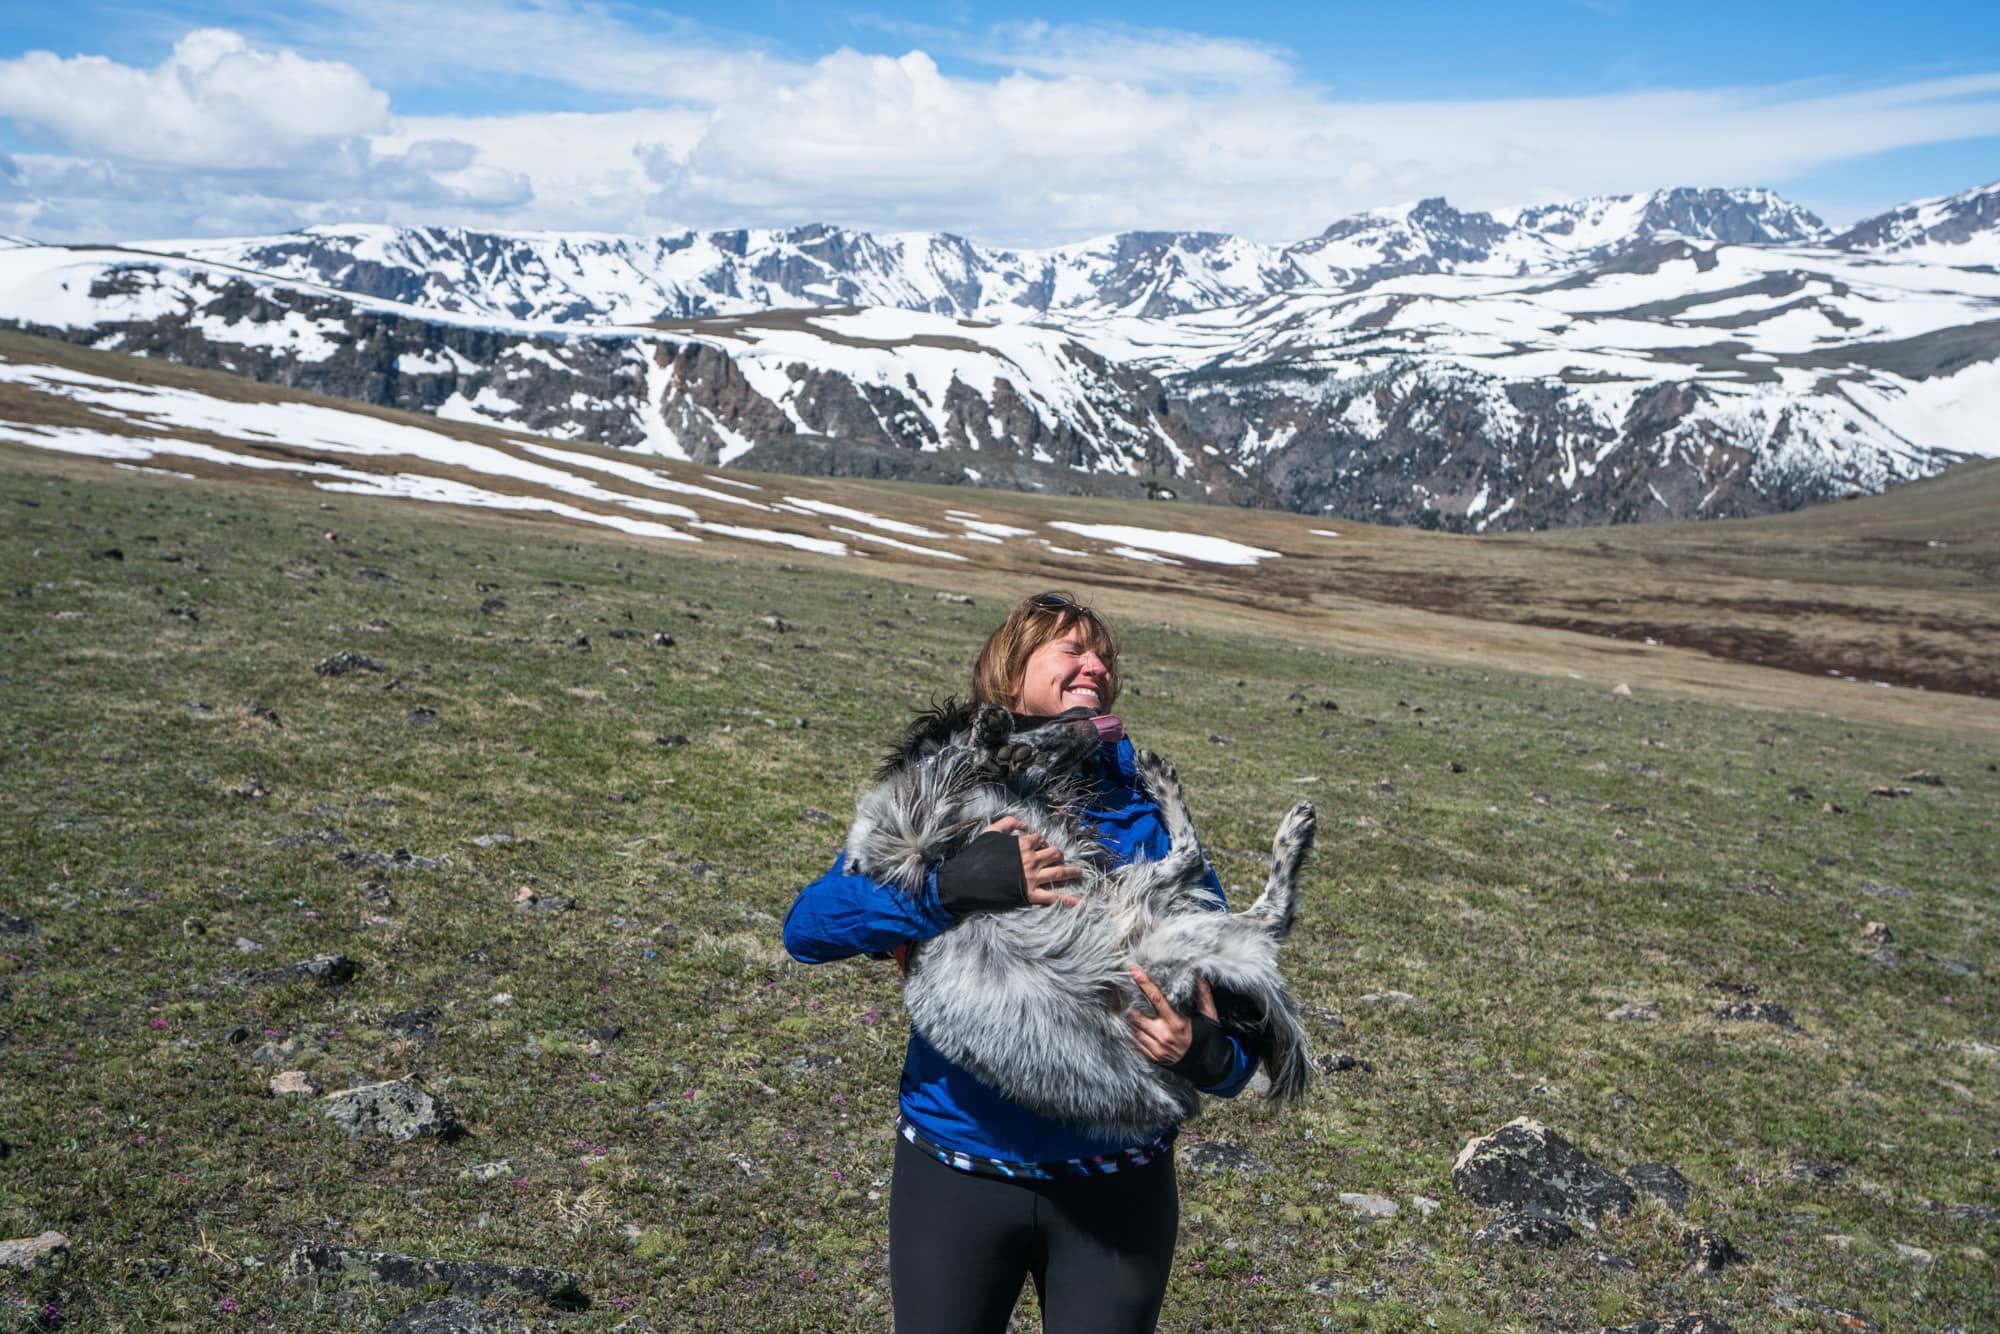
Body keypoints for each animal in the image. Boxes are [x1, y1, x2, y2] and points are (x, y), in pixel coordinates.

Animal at [852, 700, 1320, 1136]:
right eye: (1030, 714)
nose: (1086, 709)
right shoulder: (904, 833)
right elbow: (954, 760)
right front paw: (989, 738)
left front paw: (994, 743)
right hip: (1154, 929)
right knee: (1248, 898)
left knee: (1246, 899)